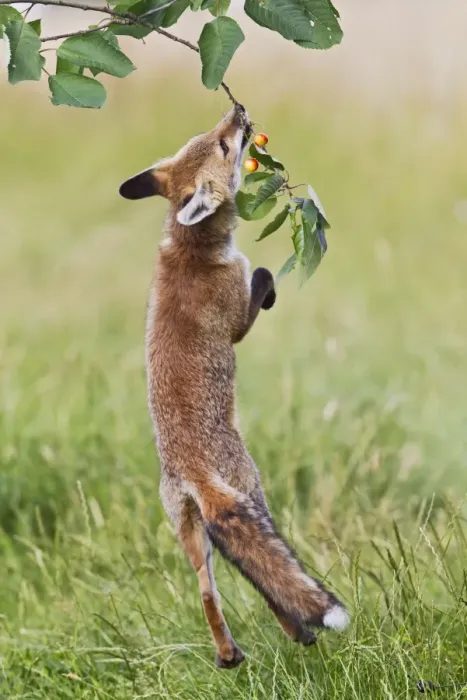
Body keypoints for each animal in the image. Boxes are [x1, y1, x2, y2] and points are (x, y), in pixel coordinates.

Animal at [119, 104, 349, 669]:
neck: (192, 248)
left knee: (208, 592)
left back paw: (231, 654)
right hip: (254, 492)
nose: (238, 110)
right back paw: (299, 632)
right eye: (224, 146)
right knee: (268, 584)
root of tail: (193, 469)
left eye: (206, 135)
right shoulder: (239, 322)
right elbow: (262, 276)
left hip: (189, 534)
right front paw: (268, 288)